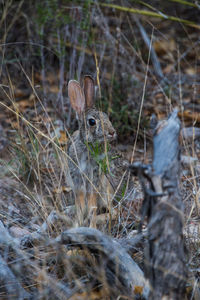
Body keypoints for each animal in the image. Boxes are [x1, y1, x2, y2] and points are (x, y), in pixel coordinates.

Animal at [67, 76, 133, 224]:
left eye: (107, 116)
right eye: (92, 122)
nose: (112, 132)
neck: (86, 145)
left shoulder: (94, 180)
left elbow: (91, 206)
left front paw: (88, 223)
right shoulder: (78, 182)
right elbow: (80, 206)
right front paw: (76, 224)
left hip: (107, 190)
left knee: (115, 212)